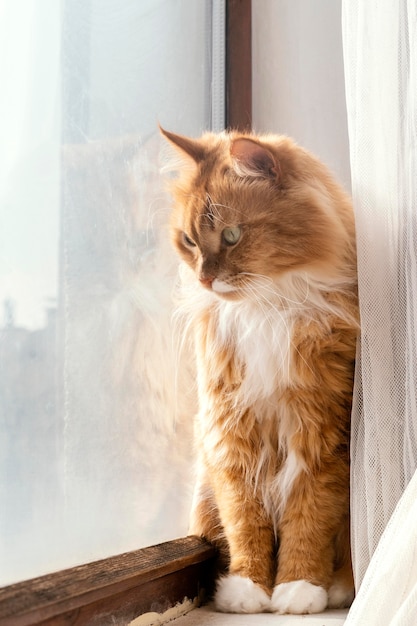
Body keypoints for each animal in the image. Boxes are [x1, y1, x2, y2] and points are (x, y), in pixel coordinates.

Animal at [160, 124, 358, 612]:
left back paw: (338, 585)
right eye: (189, 241)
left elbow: (309, 519)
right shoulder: (230, 431)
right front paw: (248, 588)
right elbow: (243, 519)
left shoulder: (324, 434)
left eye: (231, 235)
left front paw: (298, 588)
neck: (266, 308)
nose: (204, 279)